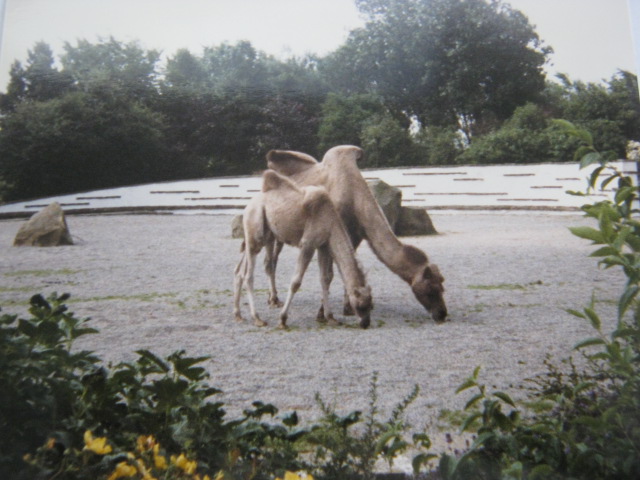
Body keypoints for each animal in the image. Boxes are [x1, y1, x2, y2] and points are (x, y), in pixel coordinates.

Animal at [233, 169, 373, 329]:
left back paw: (238, 314)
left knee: (239, 271)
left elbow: (325, 278)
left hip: (263, 234)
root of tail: (248, 205)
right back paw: (257, 318)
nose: (366, 323)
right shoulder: (308, 244)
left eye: (371, 305)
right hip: (255, 228)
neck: (330, 221)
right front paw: (283, 319)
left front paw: (330, 317)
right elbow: (296, 282)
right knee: (248, 275)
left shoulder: (323, 246)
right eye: (361, 306)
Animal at [266, 145, 447, 322]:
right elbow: (329, 275)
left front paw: (348, 308)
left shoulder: (354, 237)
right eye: (431, 288)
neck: (354, 198)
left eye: (442, 286)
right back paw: (273, 299)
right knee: (271, 260)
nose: (442, 314)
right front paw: (322, 312)